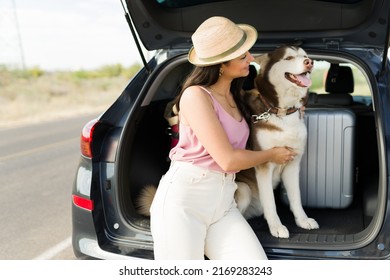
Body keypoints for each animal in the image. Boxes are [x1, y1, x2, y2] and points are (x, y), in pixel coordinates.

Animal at [236, 46, 318, 238]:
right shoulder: (264, 165)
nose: (310, 62)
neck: (282, 112)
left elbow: (296, 197)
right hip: (243, 190)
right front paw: (276, 227)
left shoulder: (293, 163)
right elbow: (270, 202)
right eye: (288, 57)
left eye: (304, 55)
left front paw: (303, 220)